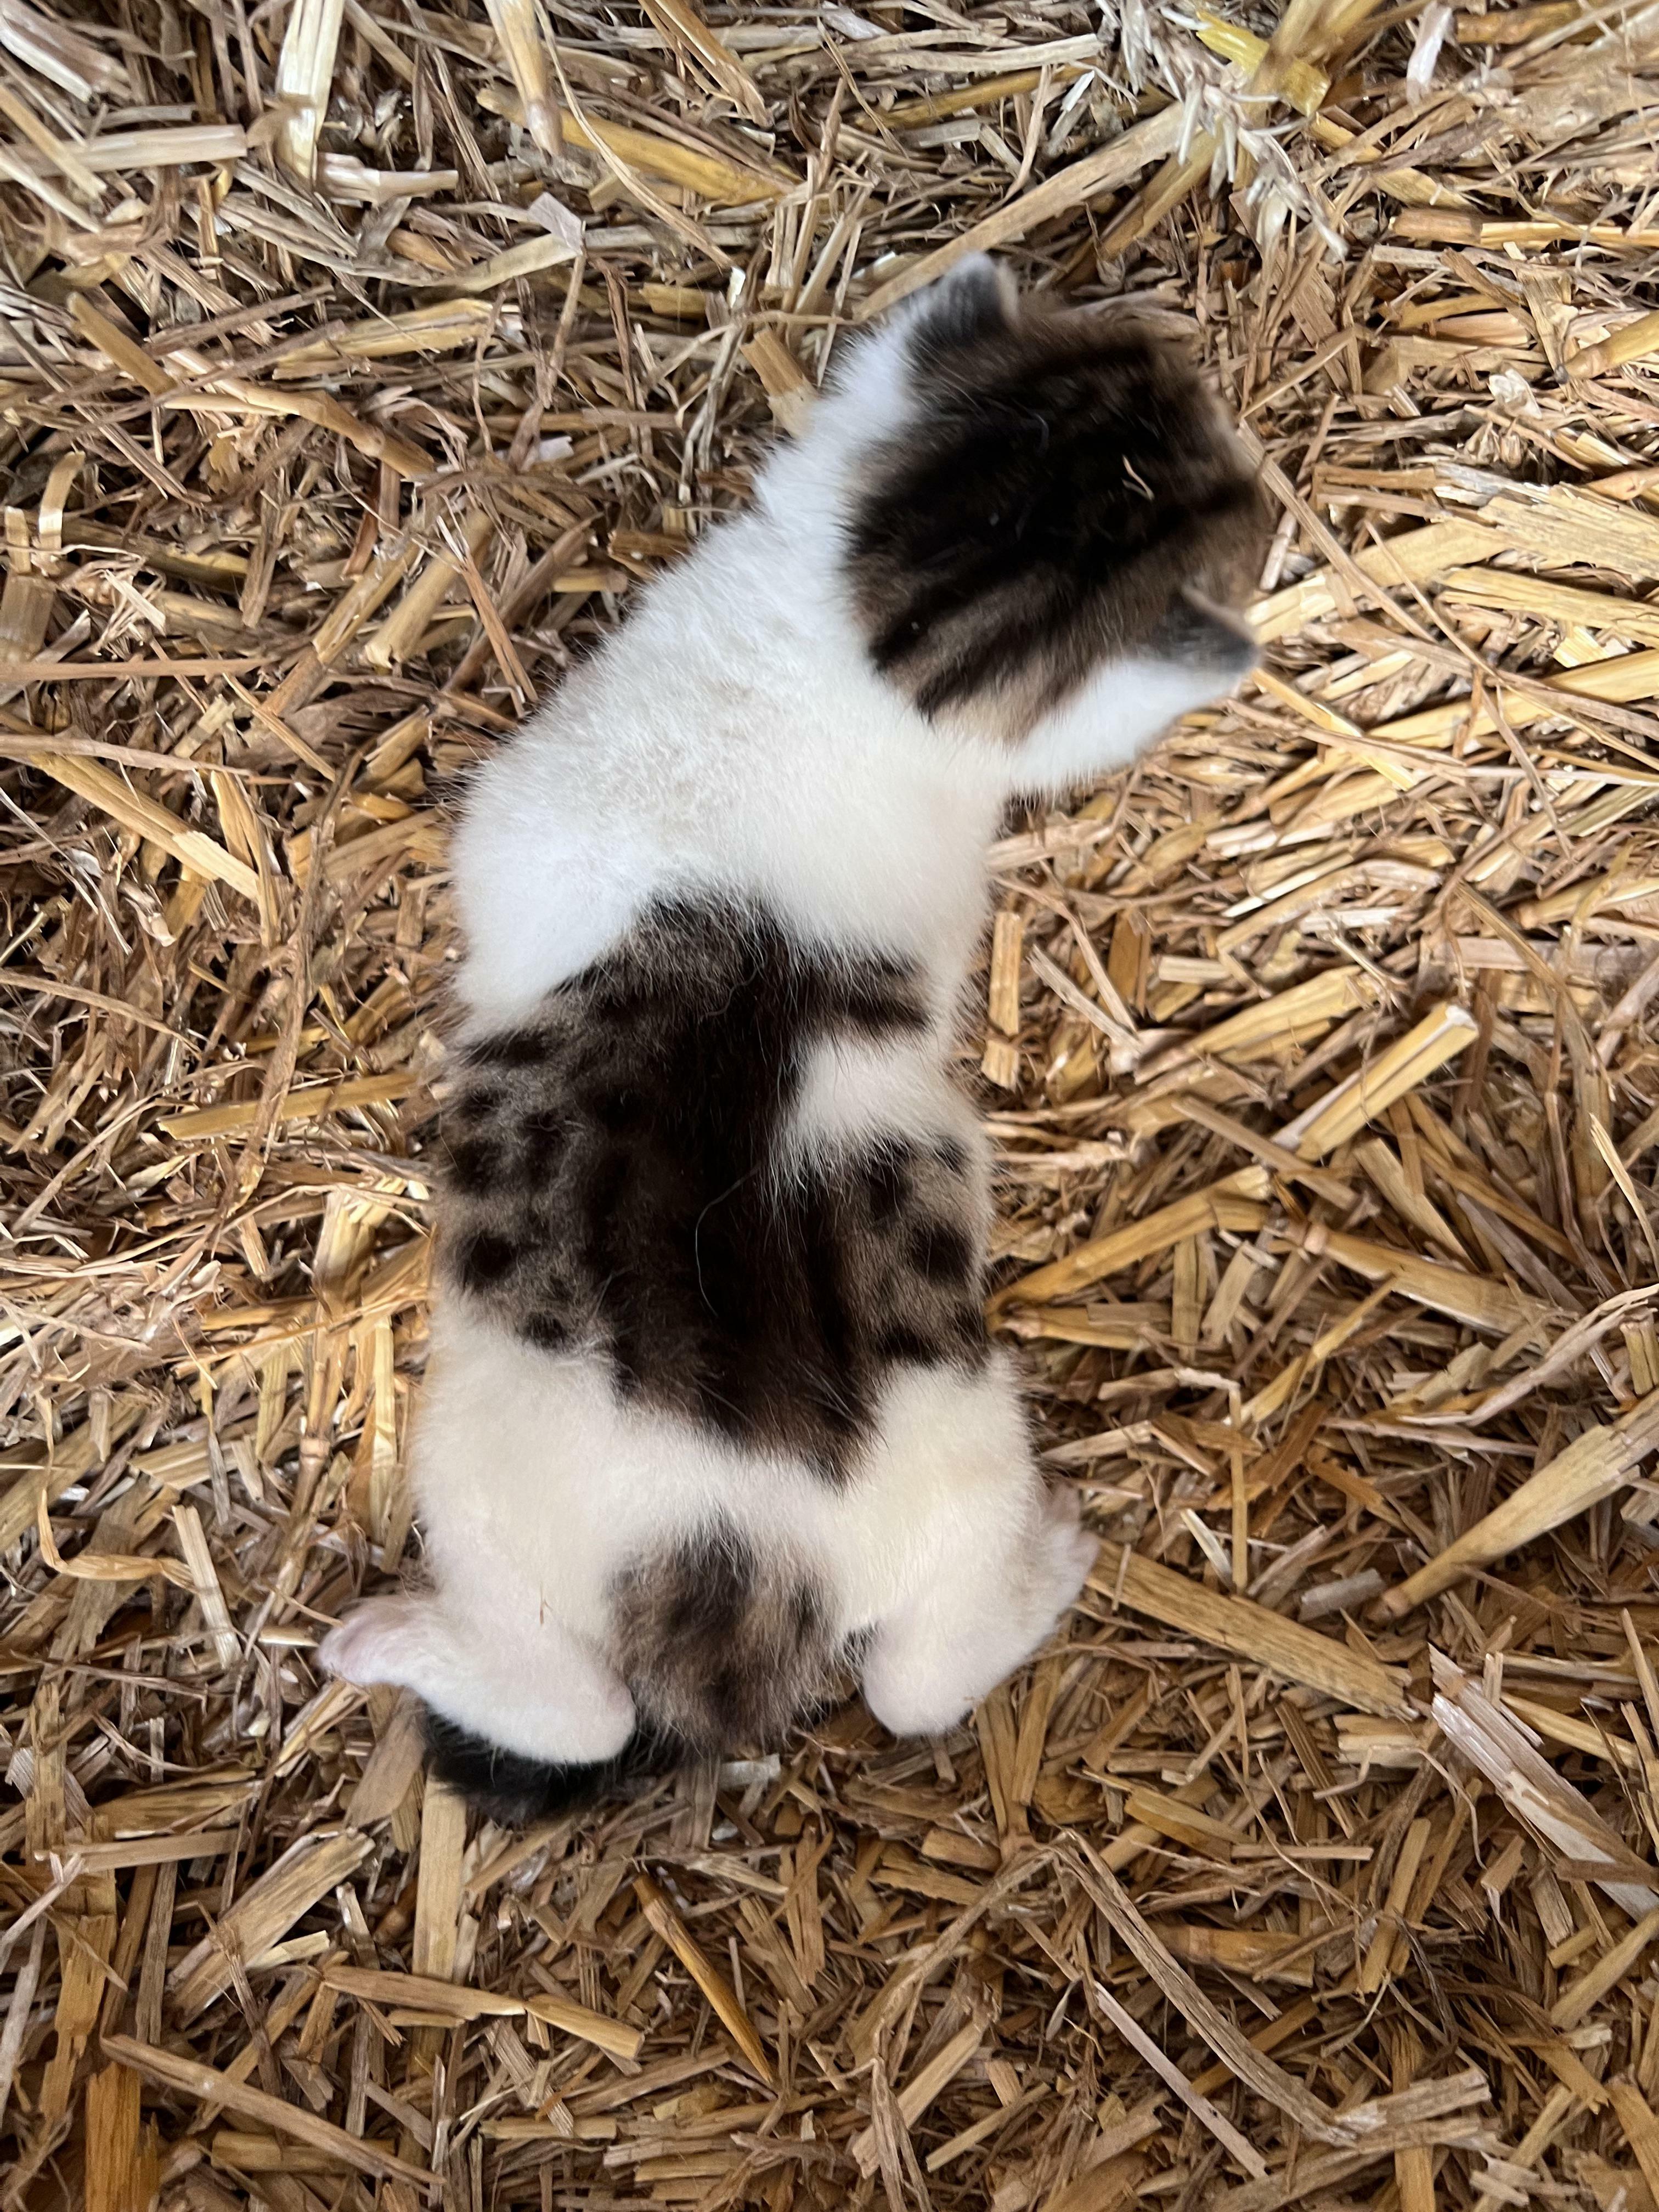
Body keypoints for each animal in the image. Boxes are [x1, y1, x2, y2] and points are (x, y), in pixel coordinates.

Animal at [320, 258, 1256, 1822]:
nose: (1273, 501)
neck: (855, 666)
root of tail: (741, 1562)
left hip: (490, 1494)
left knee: (607, 1707)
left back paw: (384, 1643)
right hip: (950, 1470)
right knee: (906, 1681)